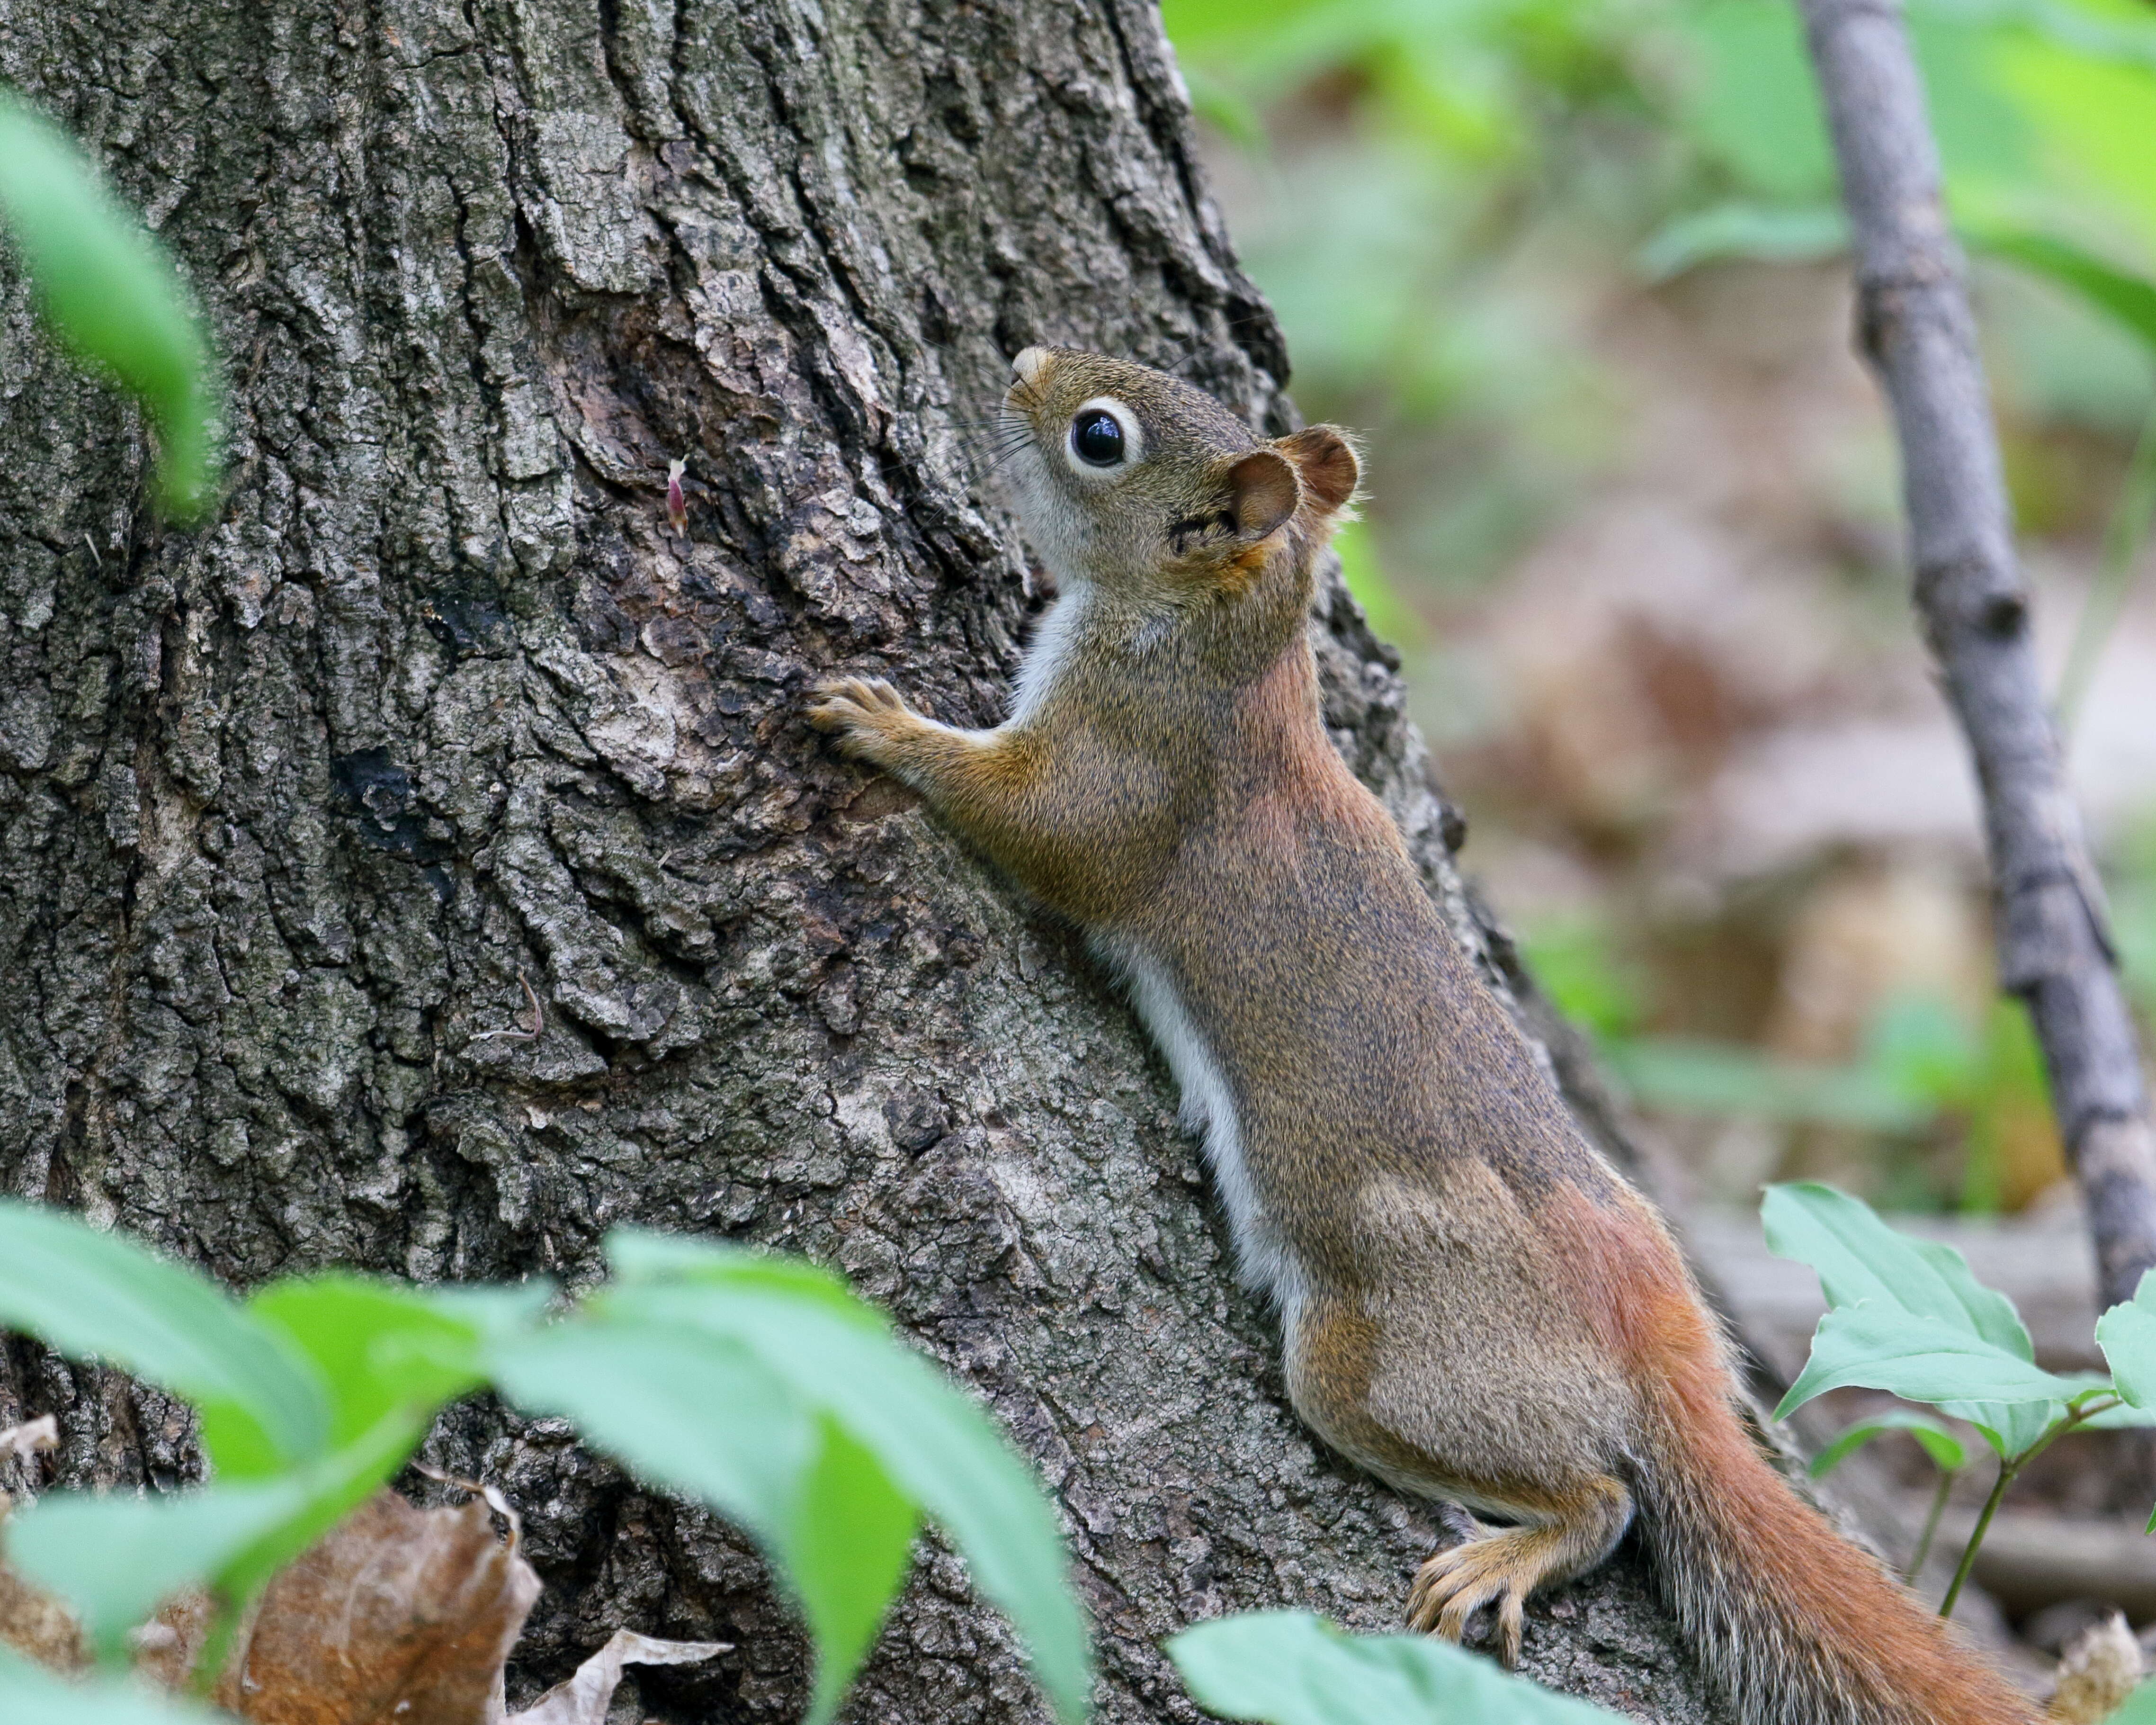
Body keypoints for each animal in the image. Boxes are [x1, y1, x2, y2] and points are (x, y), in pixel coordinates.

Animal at [806, 349, 2035, 1725]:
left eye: (1100, 437)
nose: (1020, 367)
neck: (1231, 647)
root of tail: (1650, 1334)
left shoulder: (1136, 768)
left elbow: (1044, 829)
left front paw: (885, 725)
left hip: (1379, 1367)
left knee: (1601, 1496)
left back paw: (1517, 1548)